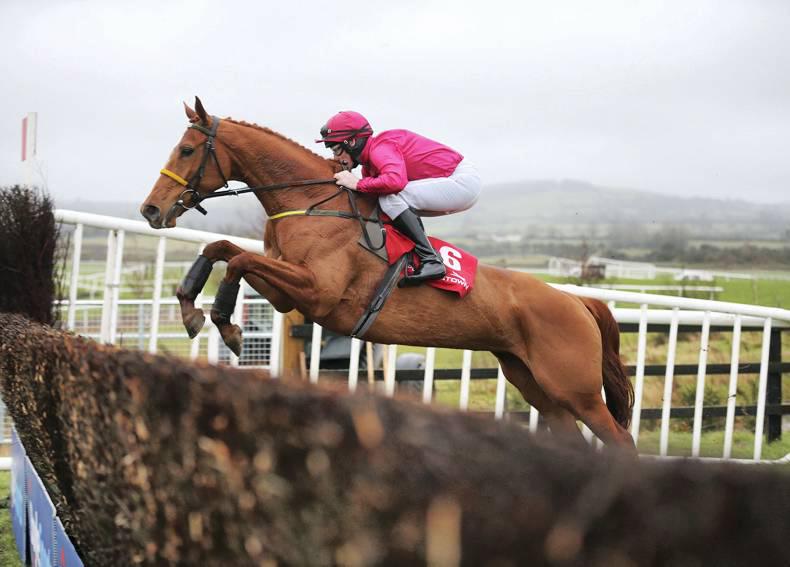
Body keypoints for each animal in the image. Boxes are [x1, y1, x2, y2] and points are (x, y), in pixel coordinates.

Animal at [140, 97, 635, 451]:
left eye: (186, 150)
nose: (151, 210)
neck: (311, 202)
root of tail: (578, 301)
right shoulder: (288, 295)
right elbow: (221, 249)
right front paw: (190, 307)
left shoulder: (317, 292)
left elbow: (240, 260)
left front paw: (225, 323)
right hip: (534, 384)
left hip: (577, 390)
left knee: (620, 440)